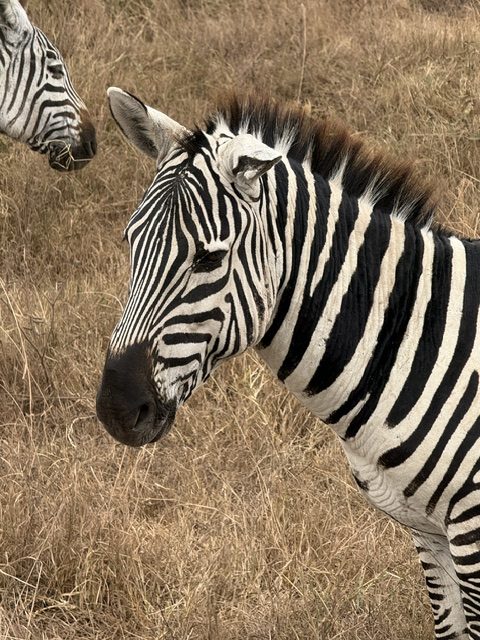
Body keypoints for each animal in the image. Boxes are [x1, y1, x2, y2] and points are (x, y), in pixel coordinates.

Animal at [96, 86, 480, 639]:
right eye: (131, 242)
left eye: (209, 259)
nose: (116, 409)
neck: (418, 342)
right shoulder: (428, 532)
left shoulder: (471, 530)